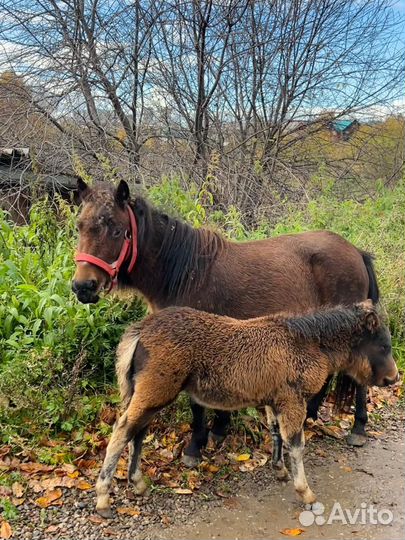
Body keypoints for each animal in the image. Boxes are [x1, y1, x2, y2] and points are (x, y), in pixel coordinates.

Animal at [72, 179, 378, 466]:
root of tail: (356, 252)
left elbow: (197, 404)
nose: (82, 287)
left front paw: (196, 446)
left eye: (116, 229)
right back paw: (310, 414)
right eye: (80, 226)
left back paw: (358, 428)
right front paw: (219, 429)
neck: (186, 272)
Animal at [94, 302, 398, 516]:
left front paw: (279, 469)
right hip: (155, 393)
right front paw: (306, 493)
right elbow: (296, 444)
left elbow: (275, 433)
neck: (307, 342)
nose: (394, 378)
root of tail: (141, 330)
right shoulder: (293, 400)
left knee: (137, 432)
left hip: (148, 395)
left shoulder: (274, 400)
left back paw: (137, 483)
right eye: (384, 346)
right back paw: (103, 498)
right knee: (122, 430)